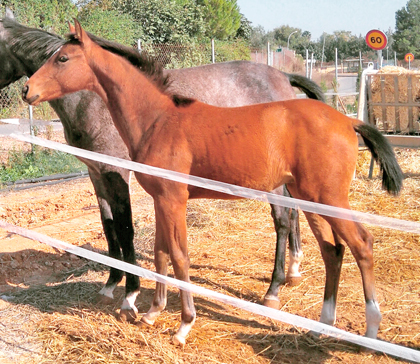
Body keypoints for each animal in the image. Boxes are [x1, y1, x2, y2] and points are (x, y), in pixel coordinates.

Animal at [0, 10, 324, 318]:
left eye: (62, 58)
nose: (26, 91)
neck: (90, 100)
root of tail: (283, 75)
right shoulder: (96, 173)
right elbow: (108, 227)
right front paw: (110, 284)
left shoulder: (117, 172)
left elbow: (125, 228)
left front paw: (130, 295)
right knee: (293, 211)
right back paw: (293, 271)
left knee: (284, 216)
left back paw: (274, 289)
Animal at [23, 21, 404, 346]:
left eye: (62, 58)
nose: (27, 90)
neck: (159, 119)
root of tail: (349, 121)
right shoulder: (161, 199)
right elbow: (161, 253)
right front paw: (152, 312)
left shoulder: (174, 198)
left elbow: (180, 256)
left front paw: (184, 325)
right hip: (310, 199)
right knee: (332, 250)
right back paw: (323, 324)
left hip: (328, 198)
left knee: (362, 244)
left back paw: (370, 329)